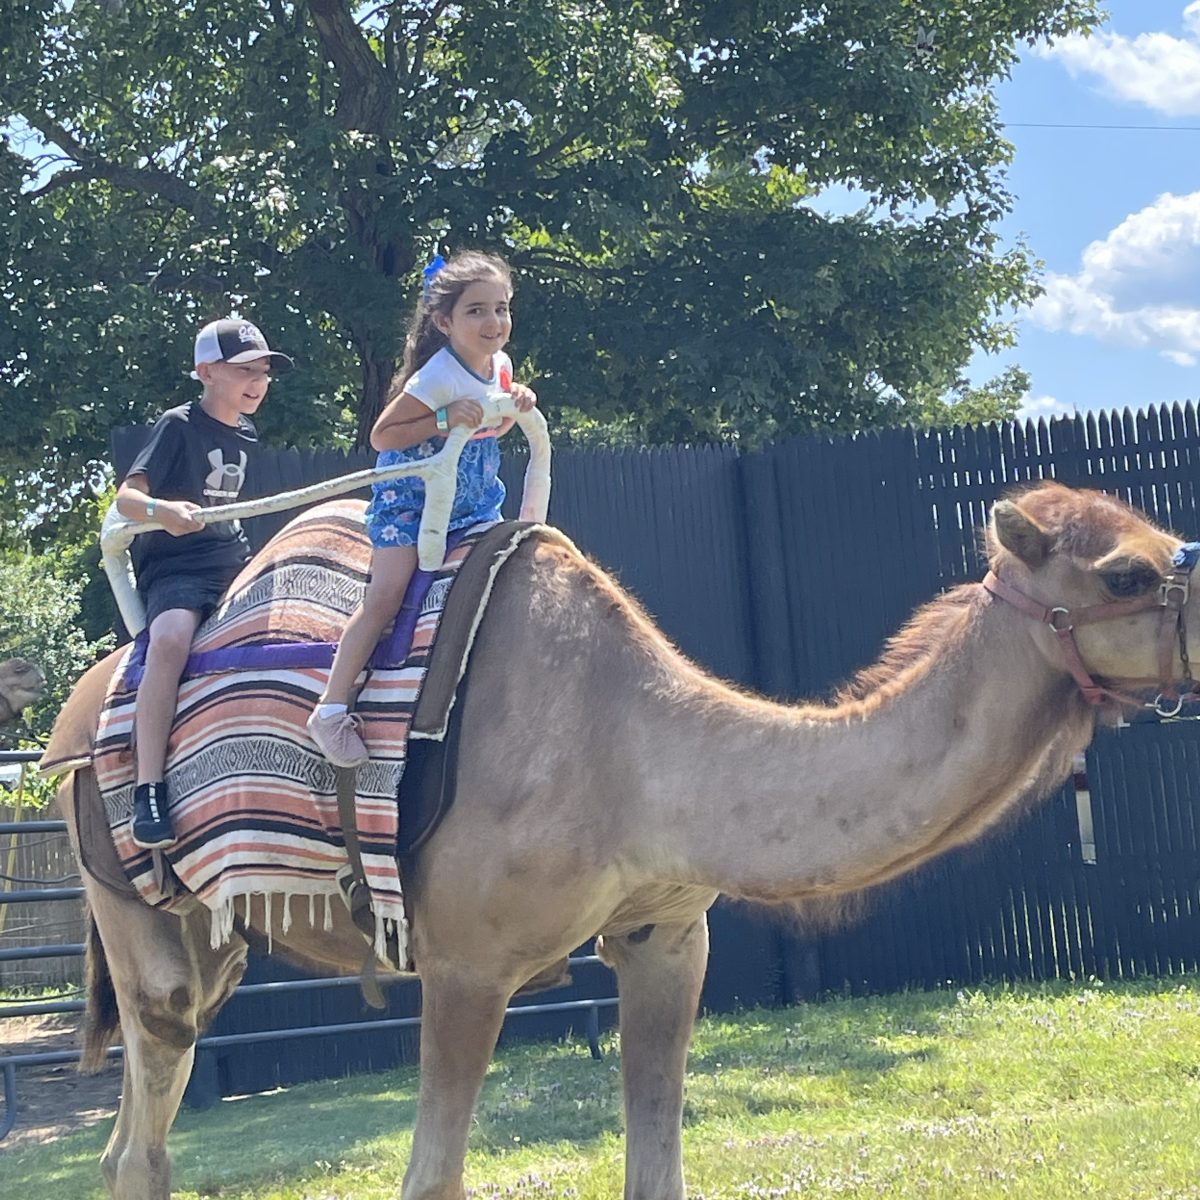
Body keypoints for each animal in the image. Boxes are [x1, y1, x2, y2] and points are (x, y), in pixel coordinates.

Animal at [44, 480, 1200, 1200]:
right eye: (1126, 575)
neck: (636, 748)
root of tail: (79, 702)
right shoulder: (466, 964)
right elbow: (434, 1175)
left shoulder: (668, 934)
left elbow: (659, 1168)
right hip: (123, 890)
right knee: (149, 1101)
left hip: (215, 937)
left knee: (133, 1133)